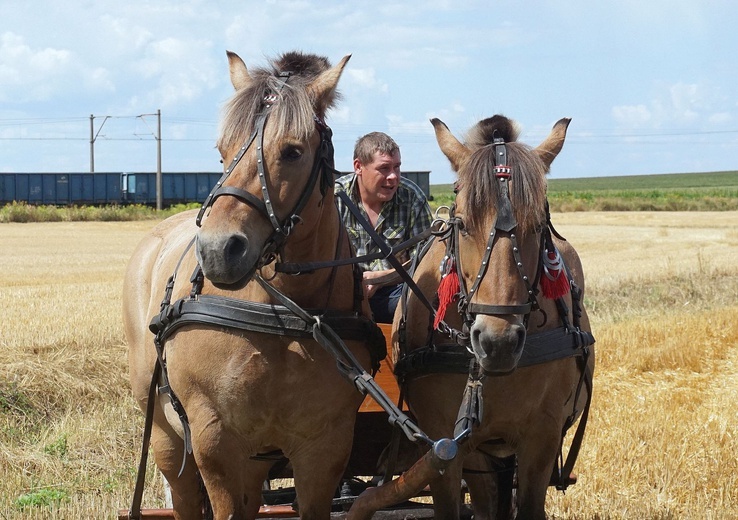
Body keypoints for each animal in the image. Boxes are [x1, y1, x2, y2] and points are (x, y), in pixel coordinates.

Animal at [123, 49, 382, 520]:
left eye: (292, 151)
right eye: (222, 150)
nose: (216, 249)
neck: (283, 315)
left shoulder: (325, 447)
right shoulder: (216, 442)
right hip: (166, 435)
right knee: (184, 494)